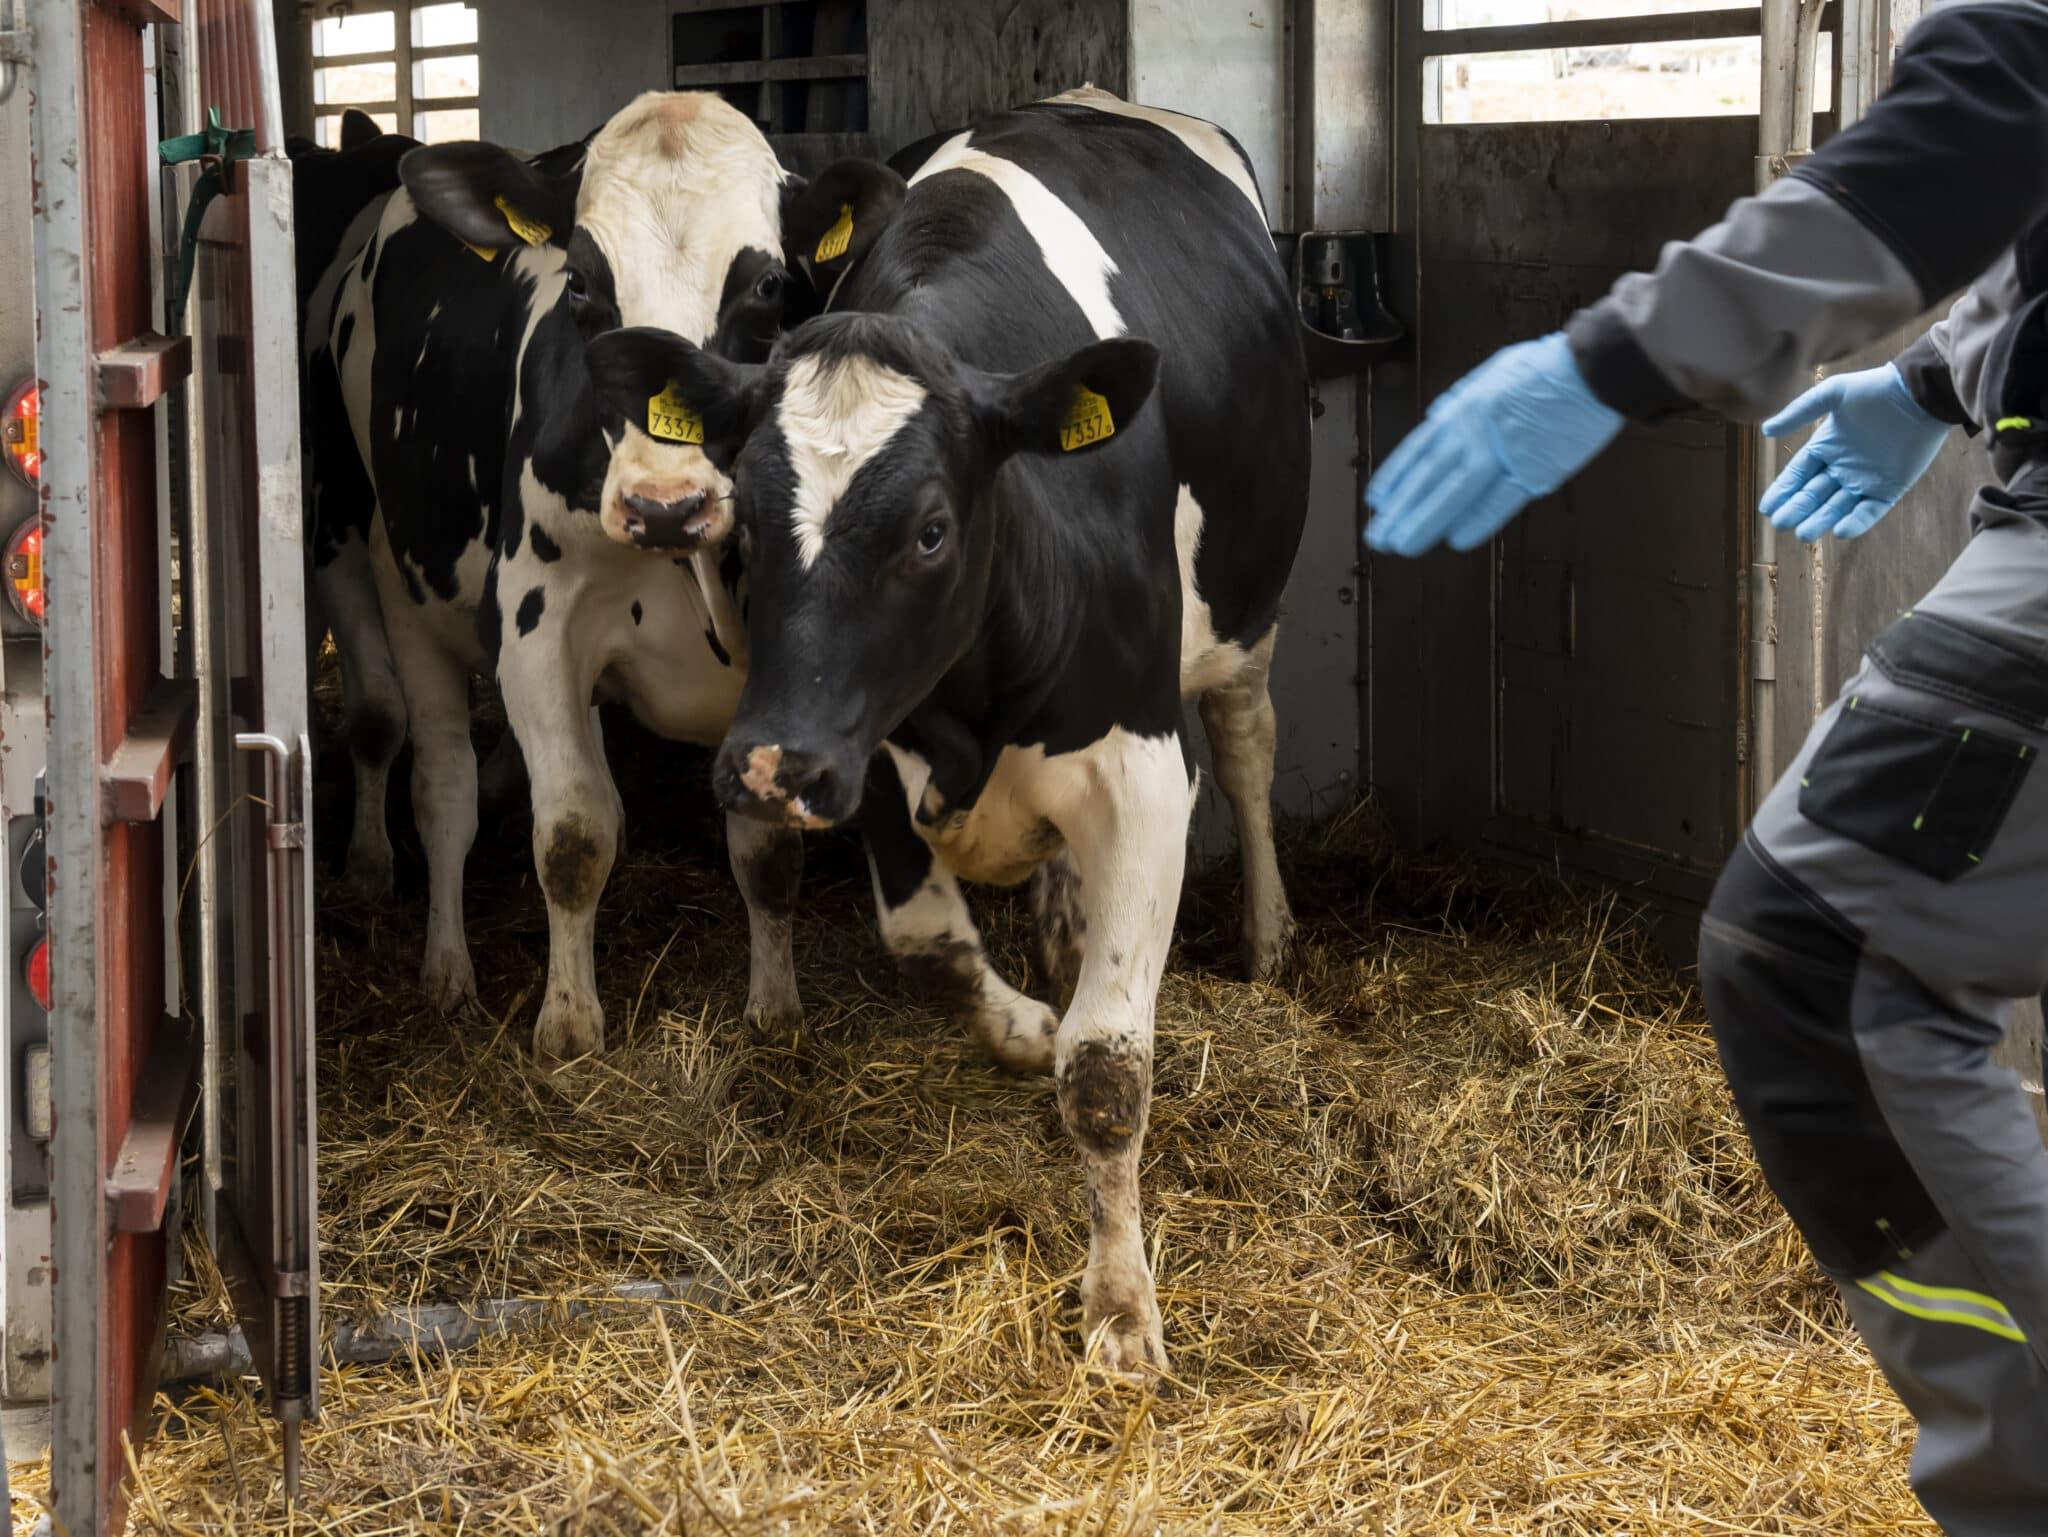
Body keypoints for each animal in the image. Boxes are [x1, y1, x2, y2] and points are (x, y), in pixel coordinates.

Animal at [315, 93, 811, 1057]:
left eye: (768, 285)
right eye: (580, 282)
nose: (666, 504)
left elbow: (768, 854)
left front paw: (775, 1007)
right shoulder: (539, 632)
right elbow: (575, 838)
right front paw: (570, 1024)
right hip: (380, 568)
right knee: (427, 771)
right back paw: (436, 953)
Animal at [589, 90, 1310, 1377]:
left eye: (929, 530)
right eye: (743, 532)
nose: (762, 767)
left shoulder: (1141, 772)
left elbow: (1106, 1068)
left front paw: (1121, 1310)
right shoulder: (867, 759)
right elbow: (929, 946)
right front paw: (1023, 1024)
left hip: (1245, 614)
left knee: (1245, 739)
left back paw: (1266, 936)